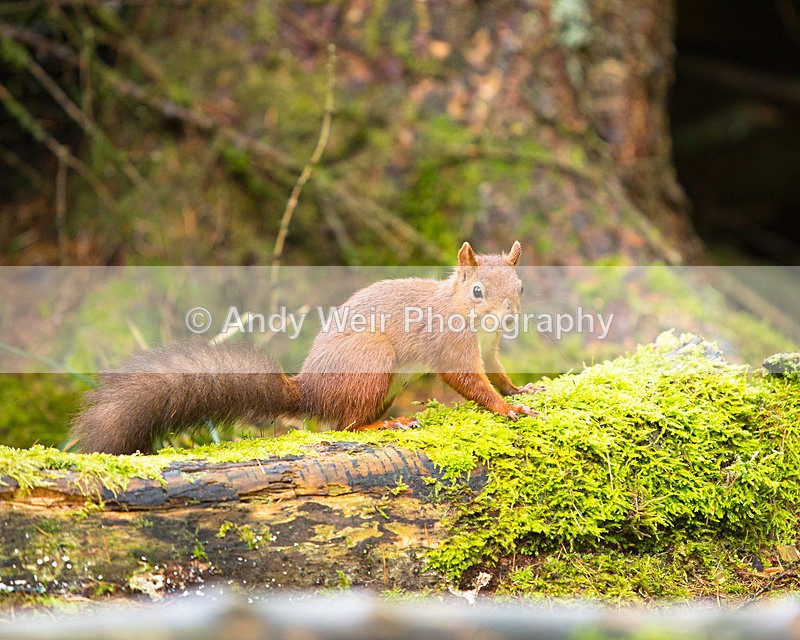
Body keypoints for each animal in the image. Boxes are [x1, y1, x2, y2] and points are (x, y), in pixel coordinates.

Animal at [72, 241, 540, 455]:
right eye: (477, 291)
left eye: (520, 287)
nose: (508, 318)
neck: (472, 321)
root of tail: (311, 390)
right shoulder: (450, 343)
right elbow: (467, 380)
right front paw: (506, 408)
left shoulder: (490, 347)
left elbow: (496, 372)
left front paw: (520, 390)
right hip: (372, 361)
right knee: (343, 426)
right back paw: (386, 426)